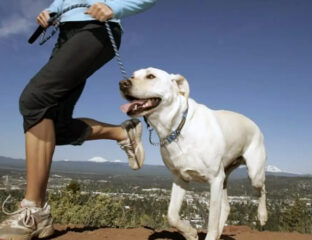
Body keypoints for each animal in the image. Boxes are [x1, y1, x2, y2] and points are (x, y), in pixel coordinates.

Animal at [119, 67, 268, 240]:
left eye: (151, 76)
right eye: (132, 76)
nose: (122, 83)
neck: (177, 128)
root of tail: (254, 124)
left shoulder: (214, 179)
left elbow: (212, 220)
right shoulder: (180, 178)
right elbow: (172, 215)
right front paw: (190, 233)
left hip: (253, 174)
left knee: (262, 189)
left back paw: (262, 216)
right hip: (224, 178)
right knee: (226, 207)